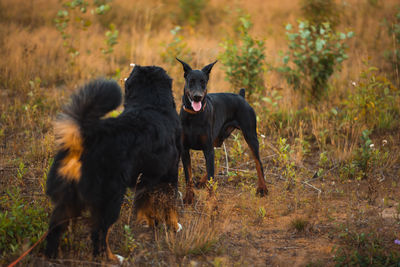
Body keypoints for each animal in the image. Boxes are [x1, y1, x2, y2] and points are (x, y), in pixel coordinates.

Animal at [45, 65, 181, 264]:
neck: (150, 104)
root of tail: (85, 139)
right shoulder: (170, 173)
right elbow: (171, 204)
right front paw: (174, 226)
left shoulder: (146, 178)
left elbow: (144, 203)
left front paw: (149, 222)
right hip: (110, 199)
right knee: (99, 234)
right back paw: (112, 258)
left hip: (68, 199)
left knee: (55, 228)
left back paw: (53, 256)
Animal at [177, 59, 268, 205]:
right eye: (191, 81)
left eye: (203, 82)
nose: (197, 97)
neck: (193, 116)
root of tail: (241, 96)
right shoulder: (185, 150)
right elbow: (188, 177)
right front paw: (189, 198)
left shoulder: (207, 148)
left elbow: (211, 177)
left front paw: (211, 202)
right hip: (218, 137)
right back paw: (201, 181)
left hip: (250, 136)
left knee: (258, 162)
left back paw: (262, 188)